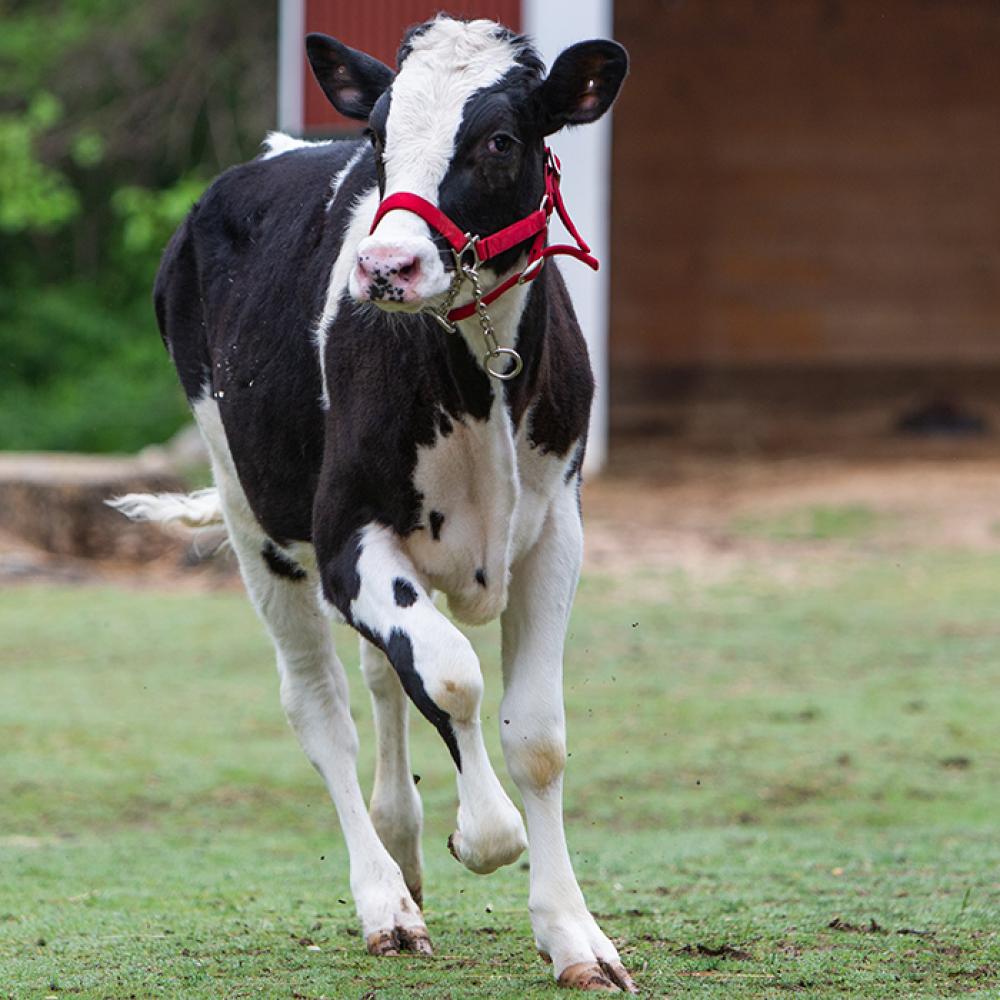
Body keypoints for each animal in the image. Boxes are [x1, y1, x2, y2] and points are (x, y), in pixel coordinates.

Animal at [113, 15, 632, 992]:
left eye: (499, 141)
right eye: (379, 136)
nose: (386, 266)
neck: (474, 378)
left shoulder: (557, 531)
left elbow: (536, 735)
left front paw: (574, 935)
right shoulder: (346, 538)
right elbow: (452, 676)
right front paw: (483, 833)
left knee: (380, 677)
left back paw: (405, 847)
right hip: (252, 518)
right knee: (322, 708)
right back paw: (385, 898)